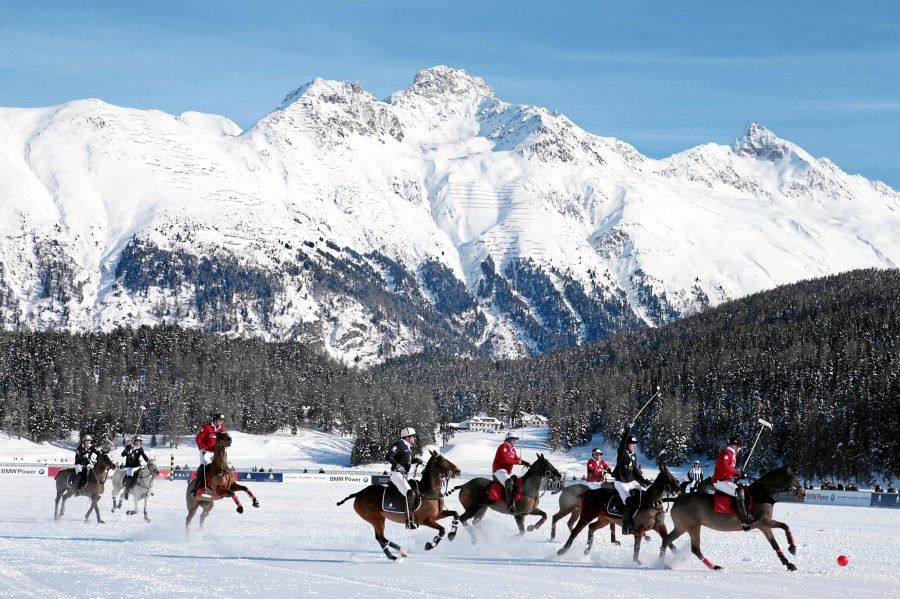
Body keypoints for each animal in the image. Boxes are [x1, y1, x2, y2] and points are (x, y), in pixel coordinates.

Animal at [556, 462, 684, 564]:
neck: (652, 502)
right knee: (575, 530)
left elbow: (668, 541)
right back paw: (562, 551)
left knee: (591, 527)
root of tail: (589, 492)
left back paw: (587, 549)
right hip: (587, 514)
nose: (679, 489)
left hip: (605, 519)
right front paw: (636, 561)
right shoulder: (639, 528)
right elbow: (637, 547)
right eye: (668, 477)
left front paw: (678, 556)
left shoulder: (660, 526)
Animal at [656, 464, 804, 572]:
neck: (761, 494)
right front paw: (792, 548)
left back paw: (663, 564)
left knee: (666, 540)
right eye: (793, 478)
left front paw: (789, 564)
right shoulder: (763, 522)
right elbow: (785, 525)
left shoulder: (764, 527)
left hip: (681, 527)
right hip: (693, 527)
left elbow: (775, 544)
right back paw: (715, 566)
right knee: (695, 549)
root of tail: (677, 499)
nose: (803, 493)